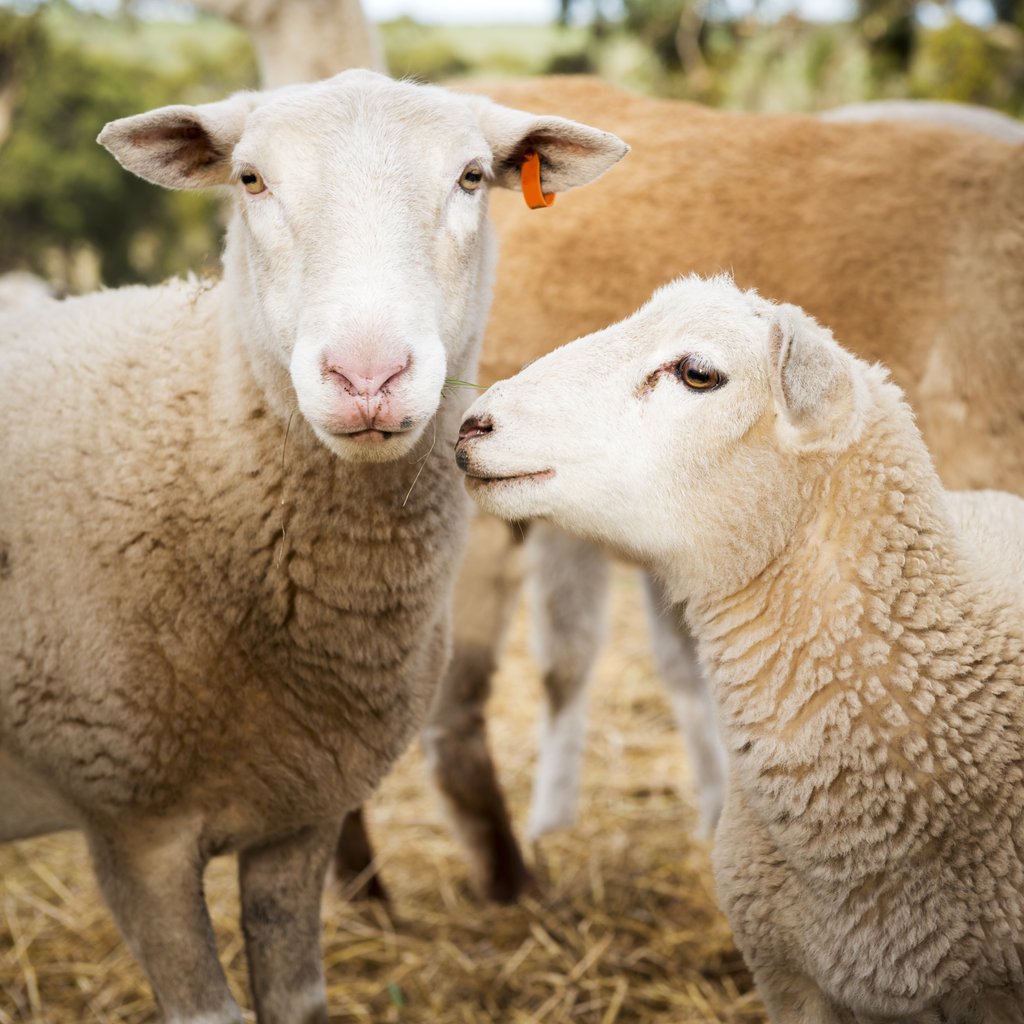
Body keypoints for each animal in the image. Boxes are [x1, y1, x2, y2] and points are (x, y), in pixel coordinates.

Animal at [0, 68, 626, 1022]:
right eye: (250, 180)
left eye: (472, 178)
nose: (368, 377)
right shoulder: (135, 831)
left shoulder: (303, 815)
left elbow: (296, 999)